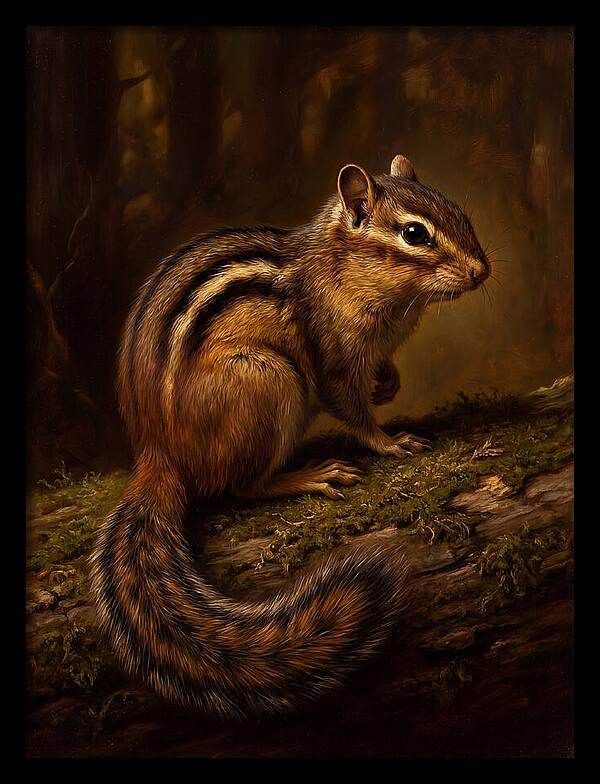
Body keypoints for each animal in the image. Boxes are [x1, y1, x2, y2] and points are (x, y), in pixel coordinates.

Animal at [90, 153, 490, 719]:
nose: (482, 271)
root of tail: (158, 453)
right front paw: (391, 442)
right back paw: (310, 475)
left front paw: (389, 383)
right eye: (415, 234)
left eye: (460, 212)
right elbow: (351, 409)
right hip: (268, 380)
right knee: (242, 486)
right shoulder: (333, 358)